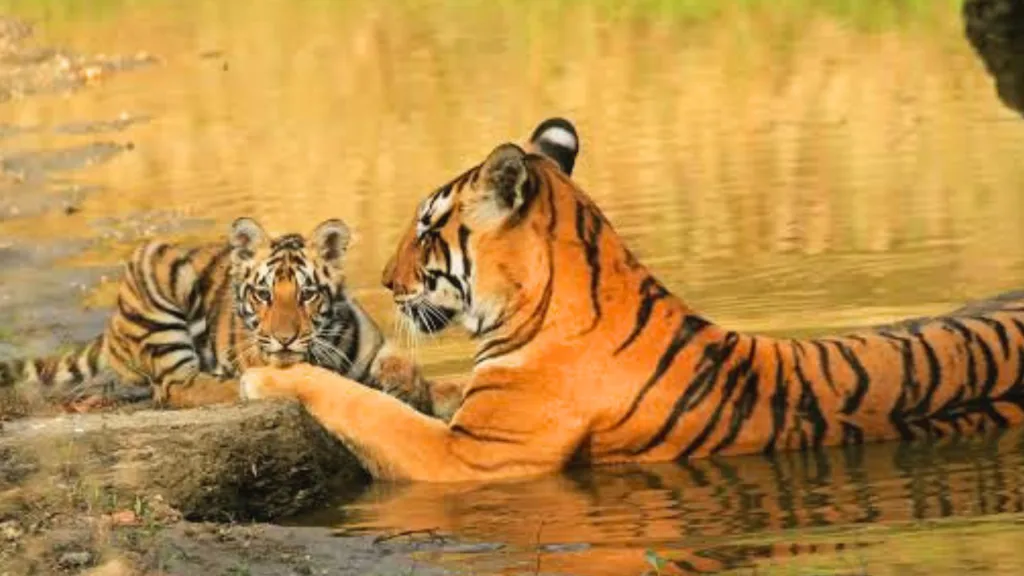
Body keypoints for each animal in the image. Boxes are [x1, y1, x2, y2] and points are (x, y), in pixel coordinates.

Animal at [0, 216, 415, 414]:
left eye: (307, 294)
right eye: (263, 294)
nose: (284, 339)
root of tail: (112, 325)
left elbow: (403, 366)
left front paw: (405, 387)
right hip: (157, 265)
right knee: (175, 387)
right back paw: (237, 386)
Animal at [239, 116, 1024, 484]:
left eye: (429, 229)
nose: (386, 278)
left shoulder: (472, 457)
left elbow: (362, 408)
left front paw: (269, 375)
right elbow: (424, 389)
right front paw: (398, 372)